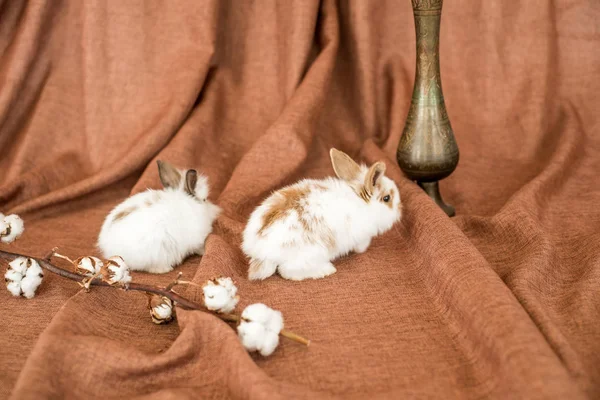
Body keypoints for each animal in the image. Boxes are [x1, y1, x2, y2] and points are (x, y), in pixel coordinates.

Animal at [240, 148, 404, 282]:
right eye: (387, 198)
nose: (400, 208)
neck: (363, 202)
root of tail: (260, 253)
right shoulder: (362, 236)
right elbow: (361, 246)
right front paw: (361, 250)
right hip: (310, 253)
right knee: (287, 271)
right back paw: (326, 270)